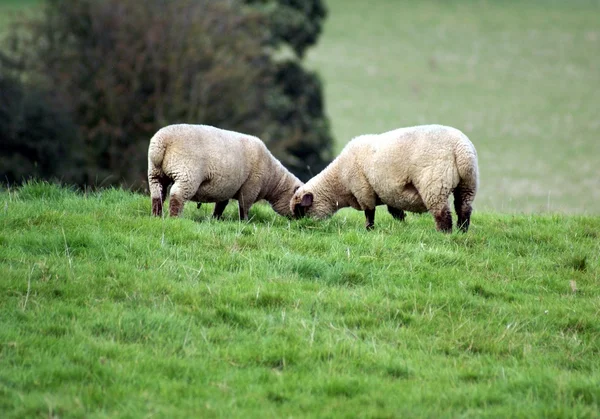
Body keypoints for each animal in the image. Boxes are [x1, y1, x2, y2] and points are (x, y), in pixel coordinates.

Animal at [148, 124, 302, 220]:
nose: (301, 221)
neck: (272, 179)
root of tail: (162, 142)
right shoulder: (250, 187)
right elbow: (244, 206)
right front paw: (245, 221)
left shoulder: (225, 188)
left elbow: (221, 205)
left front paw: (215, 219)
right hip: (187, 173)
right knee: (177, 195)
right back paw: (175, 218)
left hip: (155, 173)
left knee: (157, 194)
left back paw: (157, 216)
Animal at [288, 124, 480, 233]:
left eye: (300, 210)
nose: (298, 227)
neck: (338, 182)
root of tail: (461, 147)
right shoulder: (390, 193)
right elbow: (396, 212)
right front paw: (402, 225)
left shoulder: (363, 189)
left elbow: (369, 213)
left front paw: (369, 230)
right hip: (468, 183)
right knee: (464, 209)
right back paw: (462, 231)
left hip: (434, 184)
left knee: (443, 214)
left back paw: (444, 234)